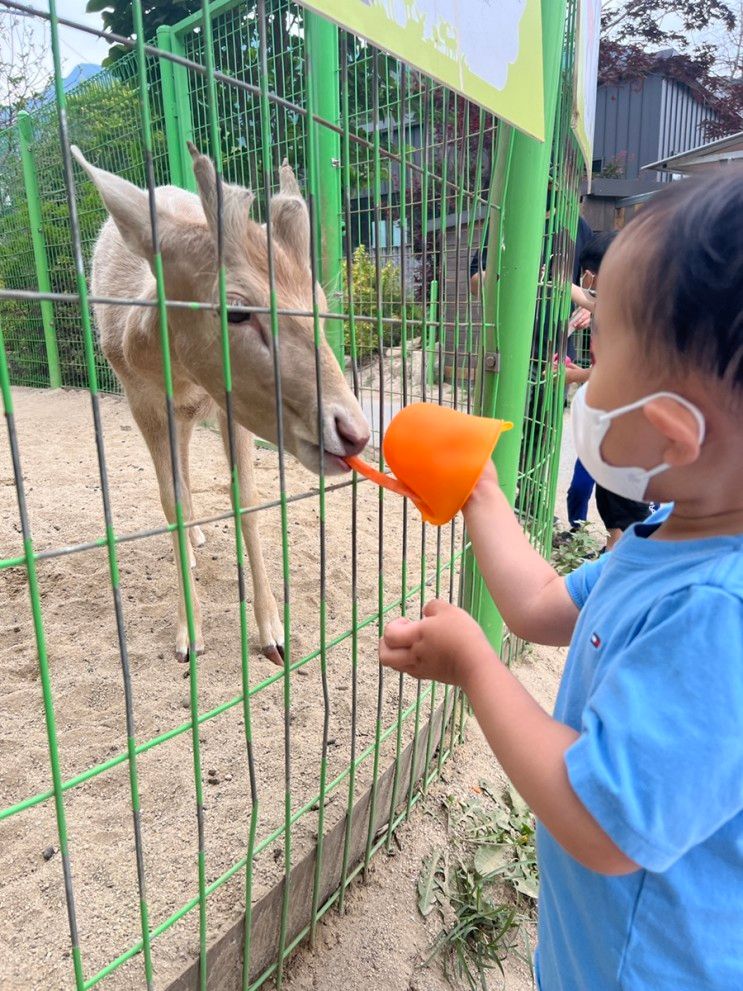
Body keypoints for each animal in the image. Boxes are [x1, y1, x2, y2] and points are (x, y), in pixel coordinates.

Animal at [72, 145, 370, 668]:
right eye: (236, 309)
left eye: (318, 299)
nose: (353, 431)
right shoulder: (141, 399)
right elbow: (169, 496)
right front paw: (188, 637)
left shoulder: (229, 407)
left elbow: (246, 498)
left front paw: (274, 634)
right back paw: (189, 545)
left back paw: (195, 539)